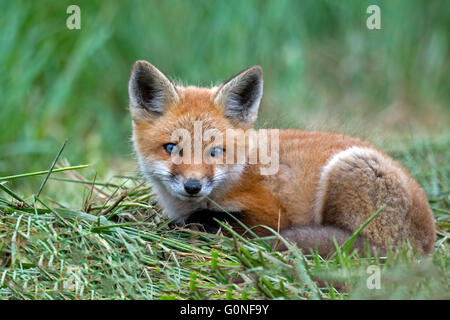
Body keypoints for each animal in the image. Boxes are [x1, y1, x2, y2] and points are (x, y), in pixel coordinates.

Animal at [127, 59, 436, 255]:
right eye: (171, 148)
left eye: (214, 151)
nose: (193, 186)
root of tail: (427, 243)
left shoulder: (269, 214)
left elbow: (214, 219)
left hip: (348, 168)